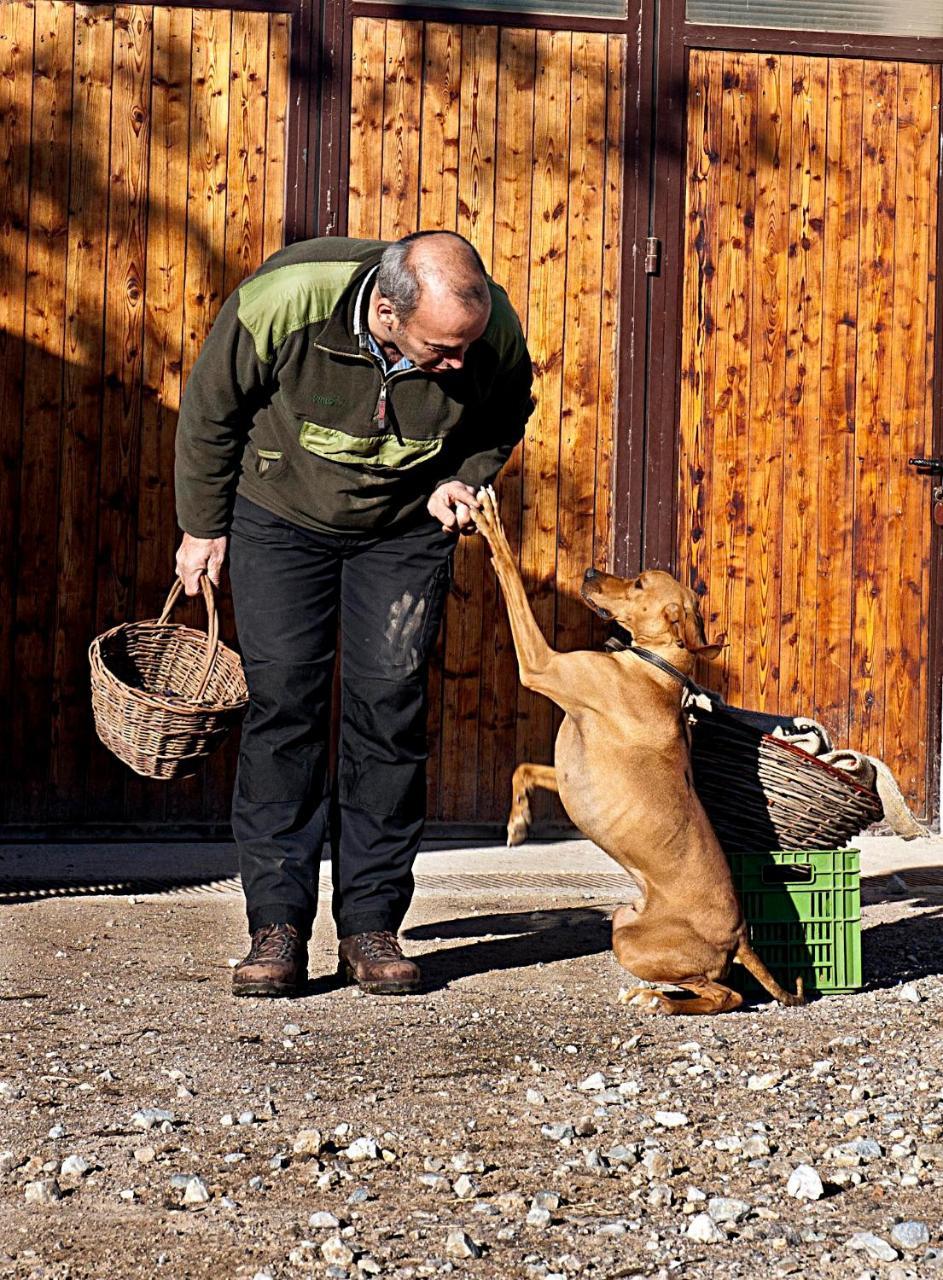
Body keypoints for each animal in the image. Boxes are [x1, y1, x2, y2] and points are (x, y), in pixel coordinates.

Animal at [470, 483, 803, 1013]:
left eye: (640, 583)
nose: (588, 571)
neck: (653, 665)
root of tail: (741, 936)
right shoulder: (564, 771)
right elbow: (523, 769)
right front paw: (518, 822)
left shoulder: (541, 664)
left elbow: (509, 572)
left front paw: (491, 521)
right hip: (626, 920)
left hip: (629, 937)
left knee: (725, 995)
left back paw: (660, 1001)